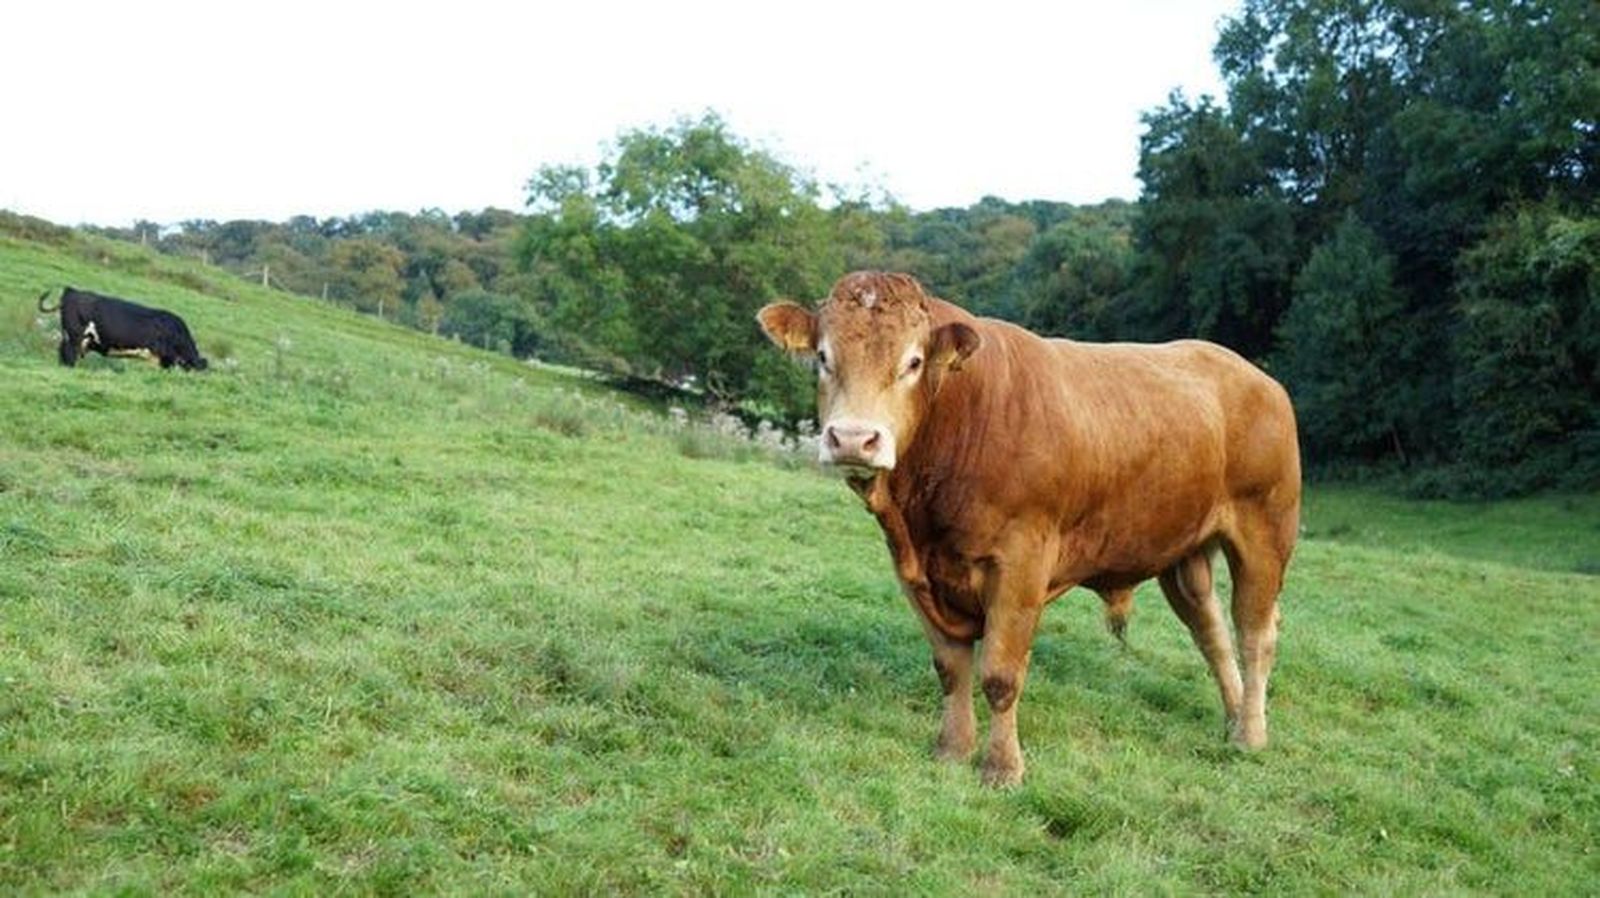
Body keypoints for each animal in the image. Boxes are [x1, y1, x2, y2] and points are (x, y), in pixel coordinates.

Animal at [757, 272, 1300, 787]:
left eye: (913, 362)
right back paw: (1233, 718)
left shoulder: (1020, 563)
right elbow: (951, 669)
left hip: (1265, 531)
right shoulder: (912, 569)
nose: (853, 439)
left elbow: (1000, 675)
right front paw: (952, 749)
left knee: (1255, 634)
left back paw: (1251, 734)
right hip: (1184, 550)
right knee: (1212, 631)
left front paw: (1002, 768)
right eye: (823, 357)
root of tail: (1250, 372)